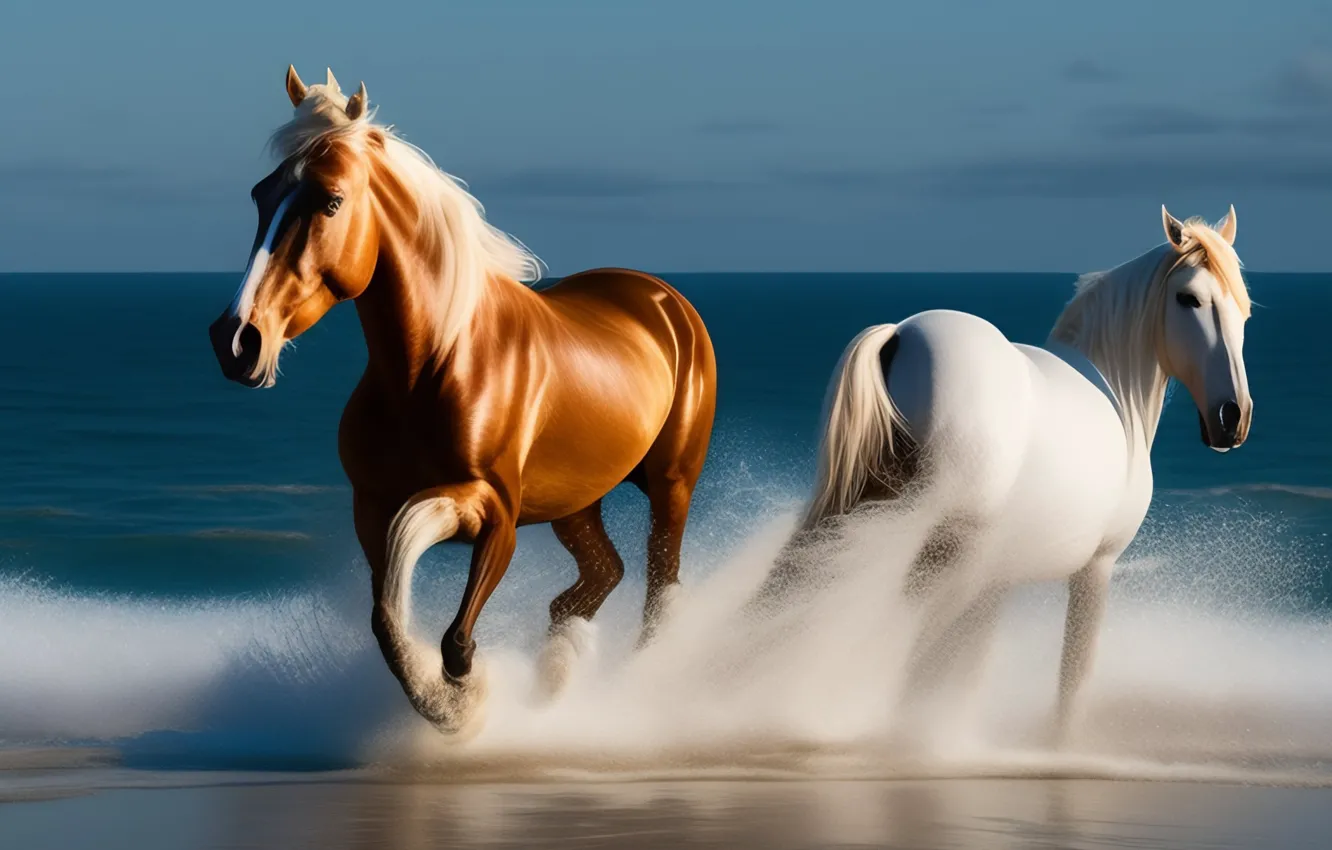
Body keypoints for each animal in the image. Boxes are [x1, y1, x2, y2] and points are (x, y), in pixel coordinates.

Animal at [207, 67, 717, 733]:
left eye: (331, 201)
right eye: (260, 195)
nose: (236, 340)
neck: (435, 364)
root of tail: (662, 298)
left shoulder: (492, 511)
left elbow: (450, 635)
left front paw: (459, 697)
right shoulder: (372, 509)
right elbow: (388, 618)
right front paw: (446, 700)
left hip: (670, 485)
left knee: (659, 589)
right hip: (577, 501)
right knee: (602, 575)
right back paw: (557, 672)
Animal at [758, 207, 1252, 742]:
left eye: (1244, 311)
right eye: (1189, 299)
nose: (1233, 416)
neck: (1113, 389)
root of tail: (900, 334)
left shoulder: (995, 582)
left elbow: (970, 671)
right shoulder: (1097, 567)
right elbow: (1072, 680)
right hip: (934, 552)